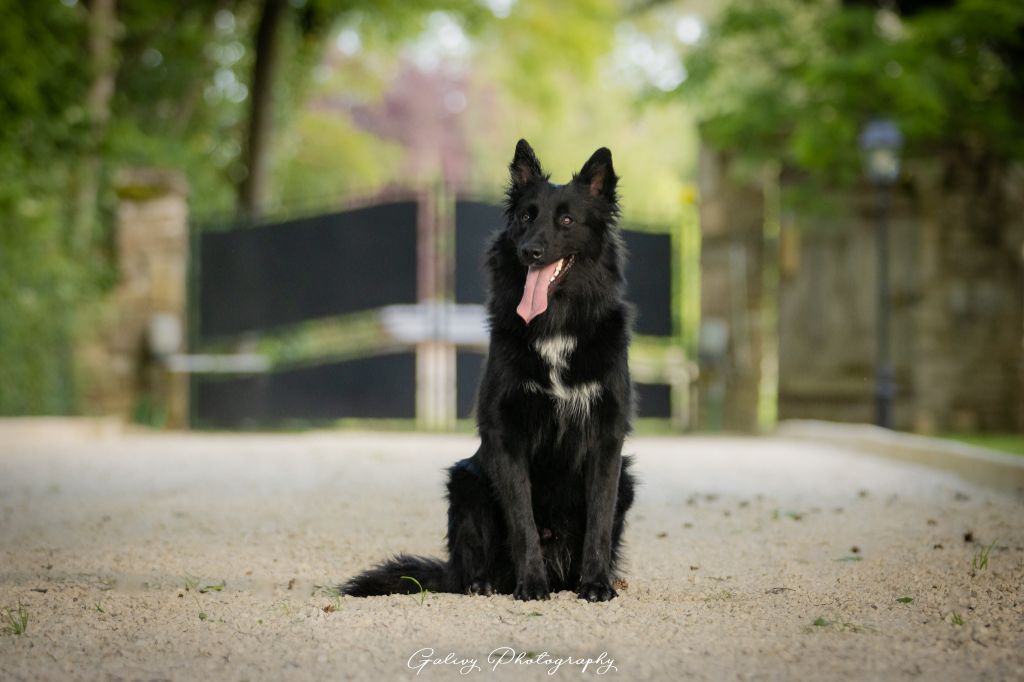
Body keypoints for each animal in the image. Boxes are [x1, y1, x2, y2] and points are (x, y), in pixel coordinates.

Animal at [342, 139, 630, 602]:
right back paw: (486, 583)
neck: (555, 326)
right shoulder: (504, 435)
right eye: (526, 216)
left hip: (628, 479)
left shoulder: (607, 437)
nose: (529, 251)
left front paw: (596, 584)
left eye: (566, 219)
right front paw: (532, 584)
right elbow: (522, 521)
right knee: (470, 568)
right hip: (466, 482)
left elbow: (599, 521)